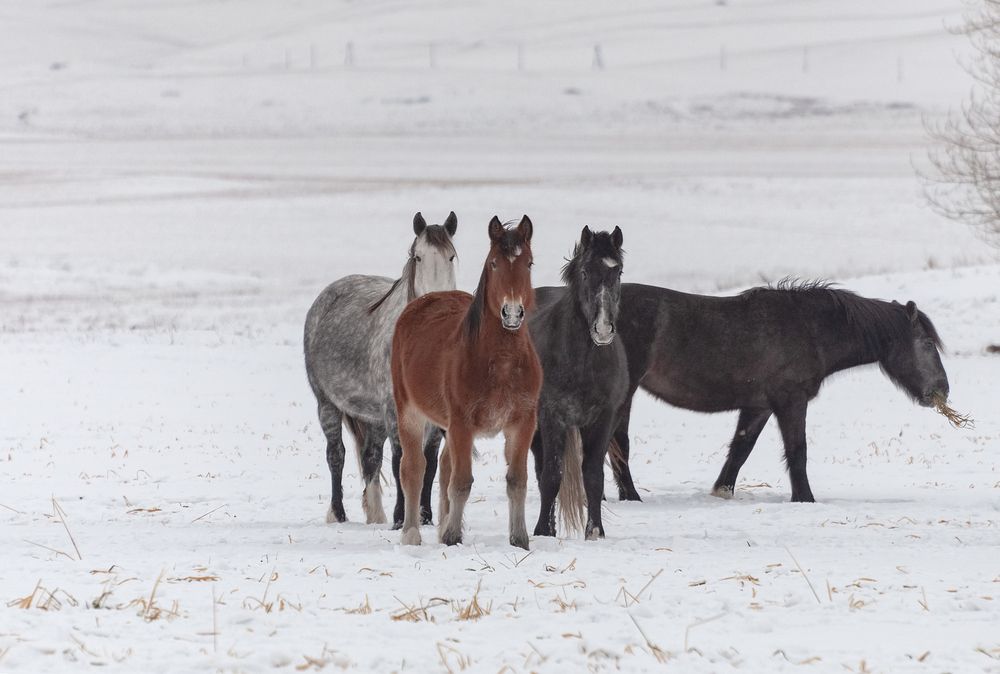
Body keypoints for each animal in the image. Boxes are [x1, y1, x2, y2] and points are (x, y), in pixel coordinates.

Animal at [304, 212, 457, 525]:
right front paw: (401, 517)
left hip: (373, 418)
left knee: (371, 456)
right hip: (327, 405)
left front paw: (424, 516)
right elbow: (402, 461)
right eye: (418, 257)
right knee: (336, 455)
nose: (437, 303)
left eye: (451, 256)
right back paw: (338, 513)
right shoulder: (394, 411)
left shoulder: (435, 418)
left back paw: (376, 514)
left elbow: (429, 464)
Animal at [391, 215, 542, 549]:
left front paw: (519, 539)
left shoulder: (523, 422)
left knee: (445, 465)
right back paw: (411, 533)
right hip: (409, 412)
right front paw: (451, 537)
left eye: (529, 263)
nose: (513, 313)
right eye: (494, 263)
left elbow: (517, 481)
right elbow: (461, 482)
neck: (501, 363)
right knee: (414, 468)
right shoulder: (462, 422)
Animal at [528, 226, 628, 541]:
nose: (603, 329)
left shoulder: (603, 419)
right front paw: (542, 531)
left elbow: (593, 476)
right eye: (585, 271)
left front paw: (595, 531)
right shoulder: (551, 417)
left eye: (618, 271)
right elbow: (551, 475)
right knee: (541, 471)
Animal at [535, 280, 950, 503]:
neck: (809, 328)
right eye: (927, 344)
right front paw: (805, 498)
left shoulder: (759, 406)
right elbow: (797, 452)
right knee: (616, 442)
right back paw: (629, 496)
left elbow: (741, 449)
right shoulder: (790, 402)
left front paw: (721, 491)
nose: (942, 390)